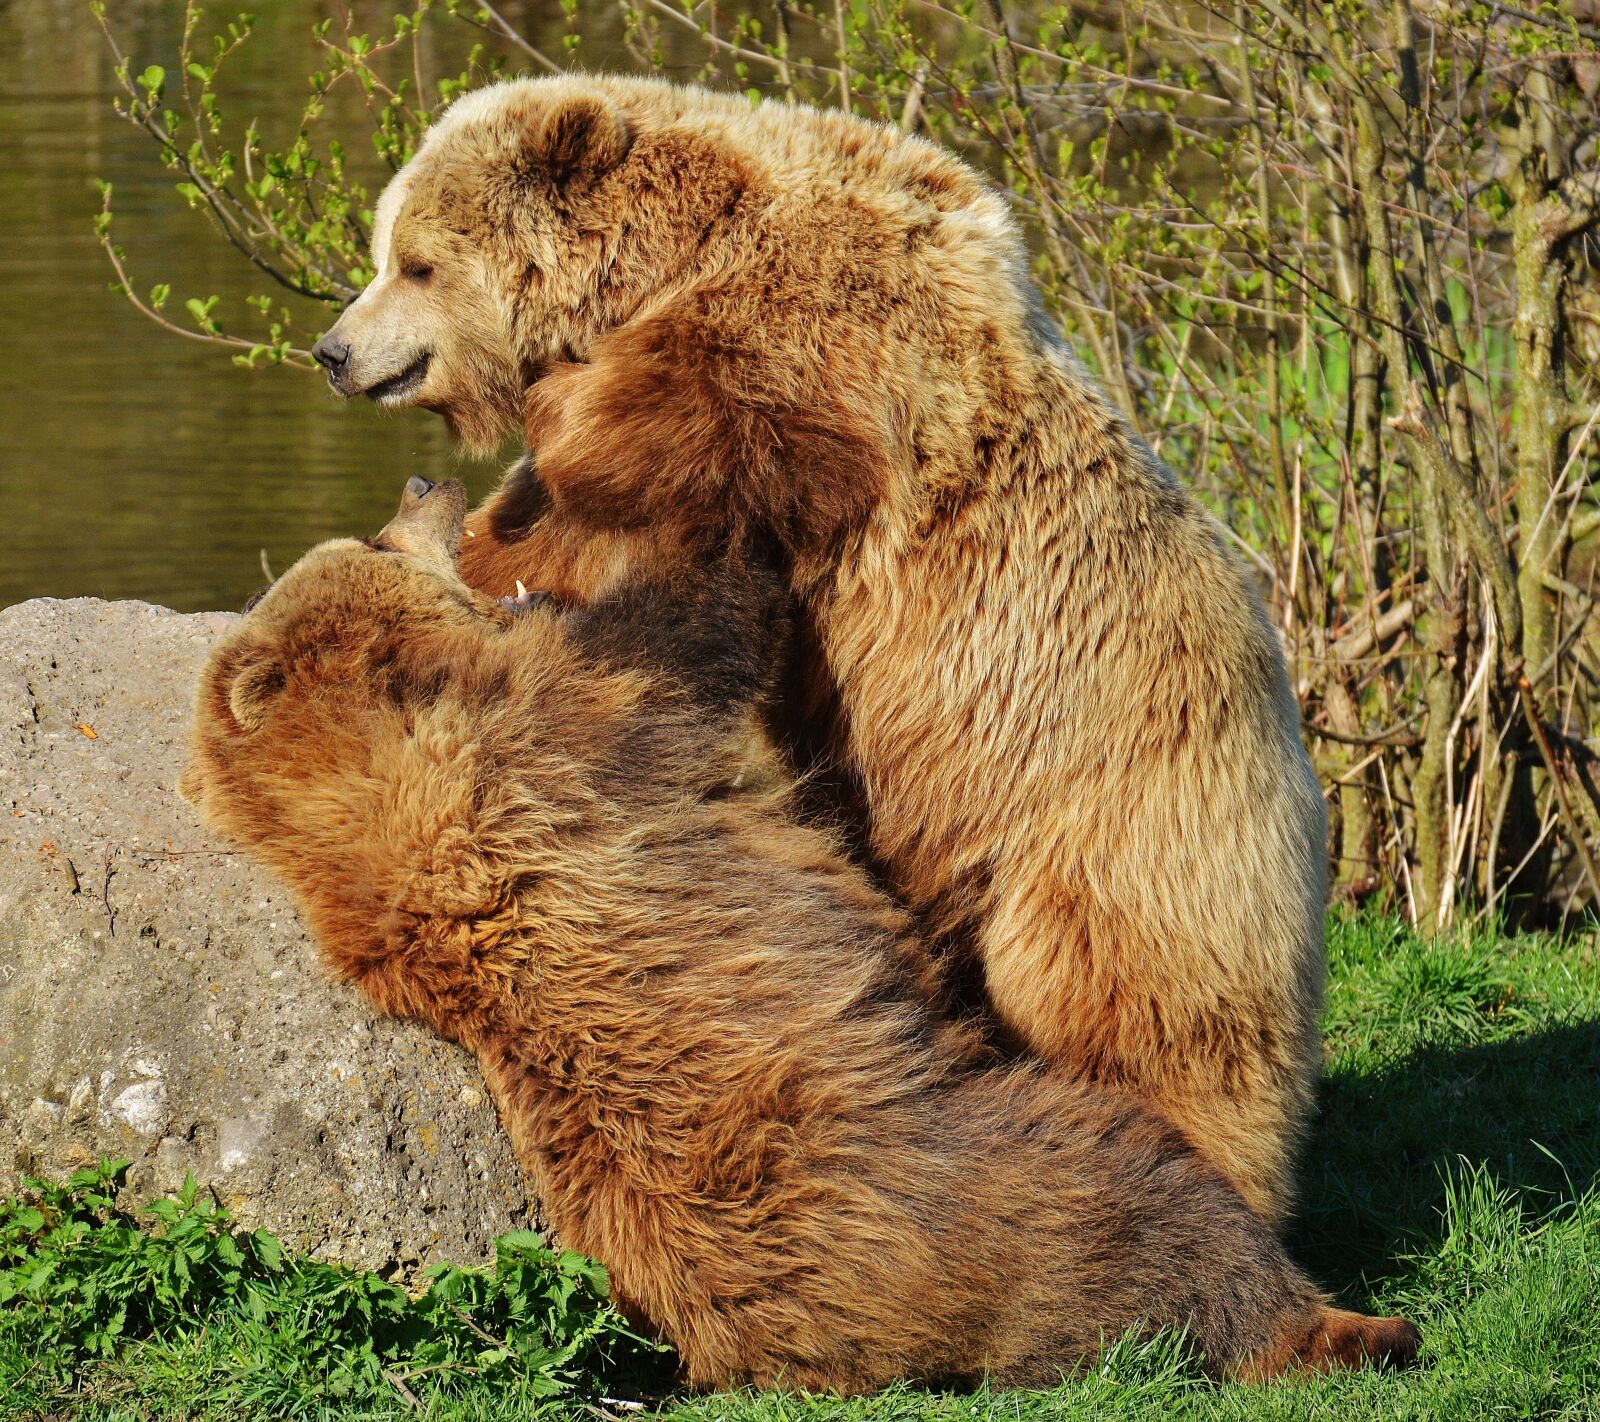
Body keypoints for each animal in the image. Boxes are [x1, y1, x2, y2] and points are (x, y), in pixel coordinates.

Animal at [179, 476, 1416, 1394]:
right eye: (371, 538)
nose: (419, 484)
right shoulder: (572, 741)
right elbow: (699, 634)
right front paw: (724, 515)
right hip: (1011, 1174)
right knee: (1175, 1223)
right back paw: (1350, 1326)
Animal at [310, 75, 1329, 1227]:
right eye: (387, 247)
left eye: (415, 262)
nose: (336, 351)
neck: (672, 252)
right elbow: (567, 525)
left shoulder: (838, 346)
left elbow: (699, 422)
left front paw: (564, 412)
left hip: (1115, 823)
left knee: (1132, 1006)